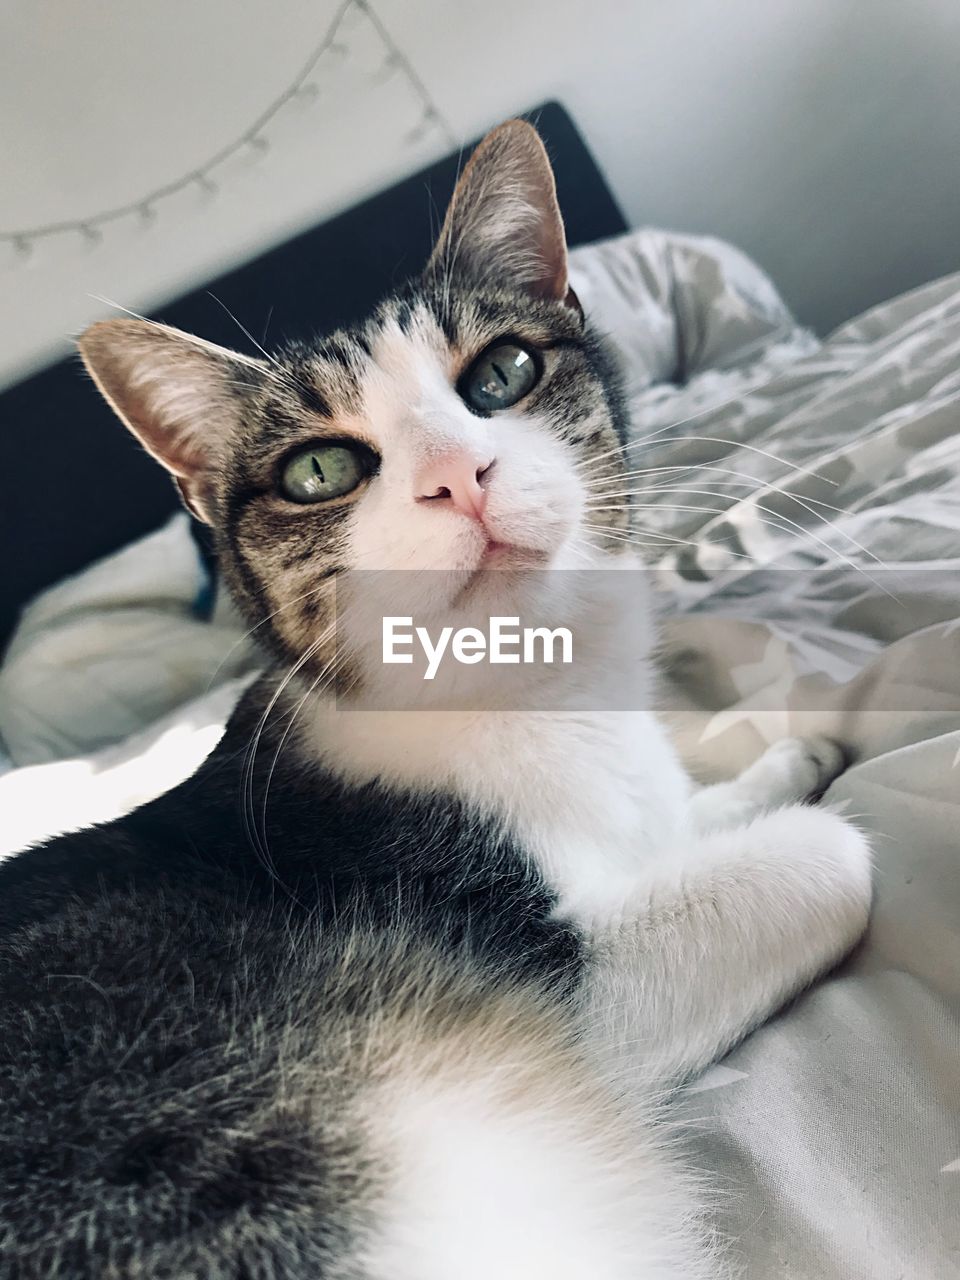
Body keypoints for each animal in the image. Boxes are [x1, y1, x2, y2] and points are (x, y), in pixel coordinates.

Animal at [0, 122, 870, 1280]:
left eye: (502, 372)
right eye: (319, 469)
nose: (461, 473)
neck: (543, 696)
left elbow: (682, 815)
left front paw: (775, 762)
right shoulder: (556, 974)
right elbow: (830, 857)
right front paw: (793, 796)